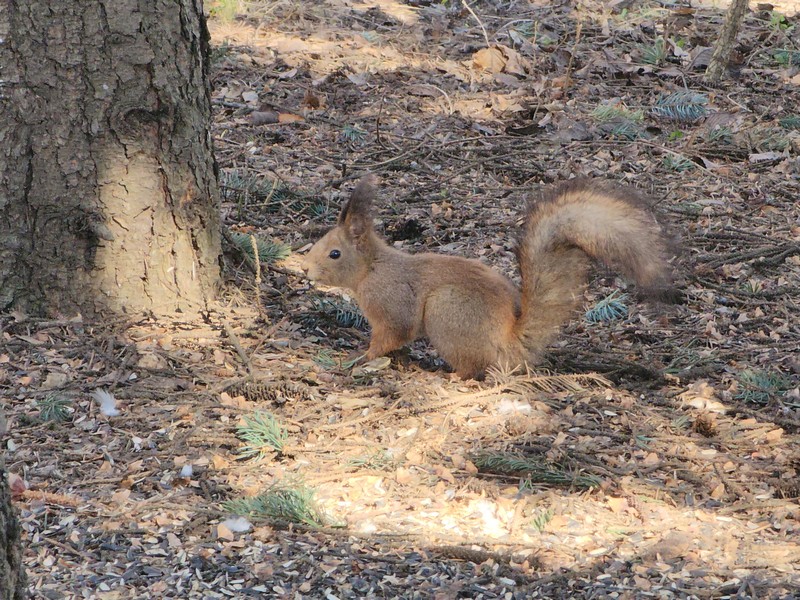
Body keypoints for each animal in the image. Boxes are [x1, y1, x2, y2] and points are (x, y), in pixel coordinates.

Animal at [303, 176, 674, 379]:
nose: (305, 270)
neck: (372, 269)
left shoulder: (391, 303)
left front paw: (362, 356)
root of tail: (508, 341)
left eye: (334, 254)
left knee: (472, 368)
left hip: (445, 312)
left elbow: (392, 334)